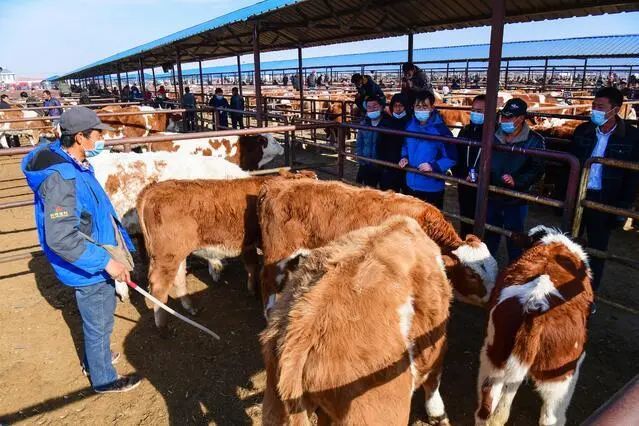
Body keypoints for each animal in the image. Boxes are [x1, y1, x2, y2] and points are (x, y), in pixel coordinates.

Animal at [136, 170, 316, 330]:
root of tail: (154, 188)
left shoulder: (249, 244)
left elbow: (252, 266)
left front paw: (252, 289)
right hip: (167, 255)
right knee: (159, 286)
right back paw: (162, 324)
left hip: (176, 254)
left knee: (178, 278)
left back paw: (190, 307)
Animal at [258, 178, 498, 314]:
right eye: (472, 275)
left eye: (495, 267)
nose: (493, 299)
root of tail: (274, 185)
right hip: (277, 254)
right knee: (268, 281)